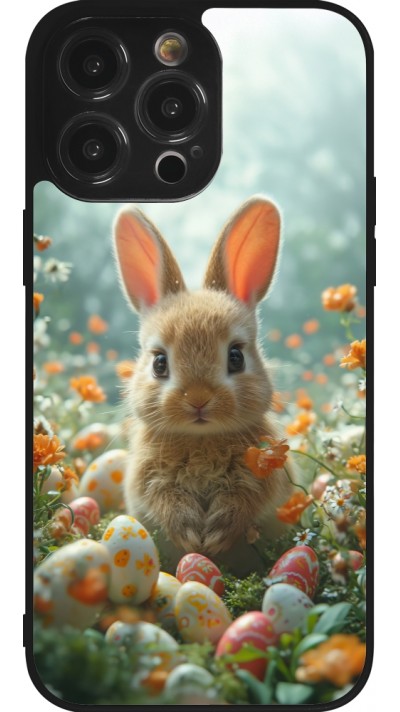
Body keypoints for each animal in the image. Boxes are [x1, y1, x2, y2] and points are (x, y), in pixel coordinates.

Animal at [113, 196, 293, 566]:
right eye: (159, 363)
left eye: (236, 357)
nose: (198, 399)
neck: (201, 439)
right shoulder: (148, 478)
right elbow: (165, 500)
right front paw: (190, 534)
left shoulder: (262, 475)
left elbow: (245, 500)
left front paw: (217, 534)